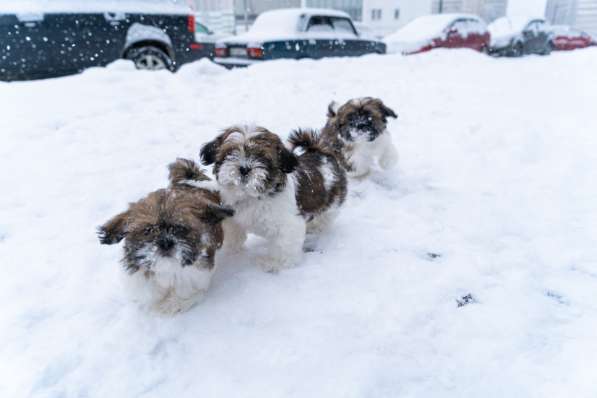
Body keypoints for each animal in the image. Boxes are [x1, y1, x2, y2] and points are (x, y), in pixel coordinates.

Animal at [97, 159, 233, 314]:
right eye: (149, 230)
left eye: (180, 228)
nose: (165, 243)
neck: (167, 269)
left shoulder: (197, 279)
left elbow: (184, 297)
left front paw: (169, 304)